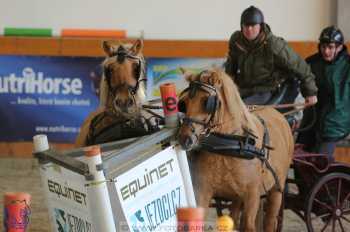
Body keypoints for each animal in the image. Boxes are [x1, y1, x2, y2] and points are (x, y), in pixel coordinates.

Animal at [176, 69, 294, 232]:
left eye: (206, 101)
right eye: (184, 102)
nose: (184, 138)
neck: (227, 146)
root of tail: (280, 115)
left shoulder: (252, 195)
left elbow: (249, 226)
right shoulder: (202, 191)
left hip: (277, 188)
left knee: (270, 220)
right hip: (237, 195)